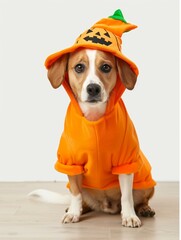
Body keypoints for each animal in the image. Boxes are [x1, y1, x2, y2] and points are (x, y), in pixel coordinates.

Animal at [28, 9, 156, 228]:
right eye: (79, 67)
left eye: (106, 67)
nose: (93, 88)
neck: (95, 120)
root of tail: (106, 206)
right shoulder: (71, 164)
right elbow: (76, 194)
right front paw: (73, 212)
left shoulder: (125, 163)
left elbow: (127, 196)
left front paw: (130, 216)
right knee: (80, 197)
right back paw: (78, 208)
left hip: (146, 182)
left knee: (140, 198)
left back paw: (144, 209)